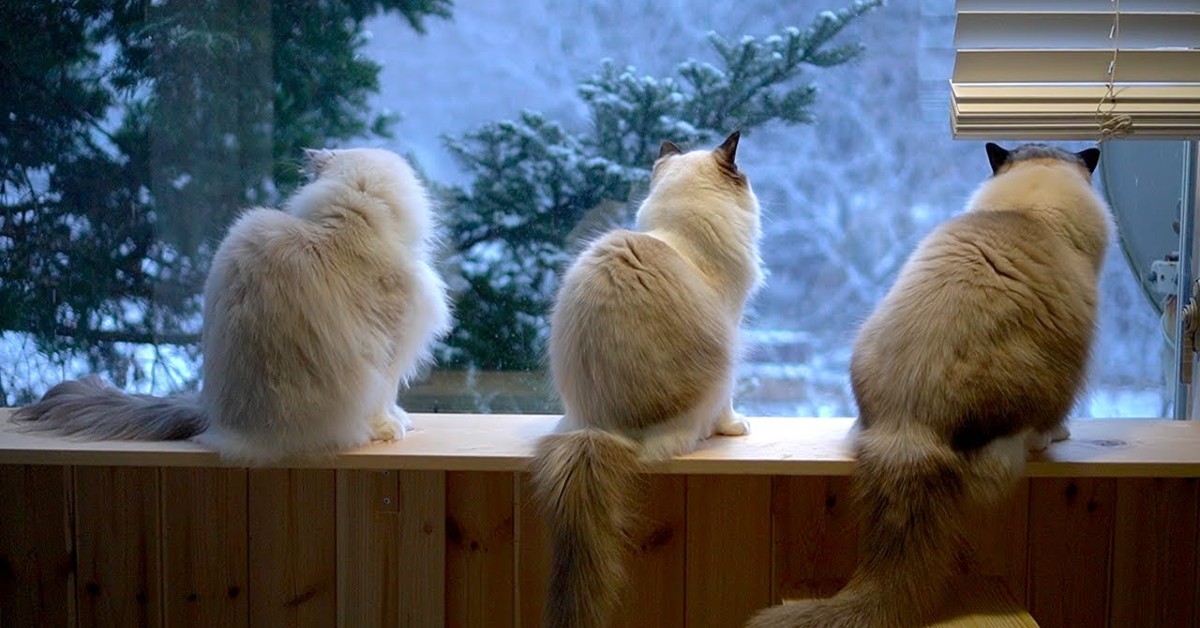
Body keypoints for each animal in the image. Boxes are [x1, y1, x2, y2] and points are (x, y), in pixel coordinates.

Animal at [532, 132, 763, 628]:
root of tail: (602, 430)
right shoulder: (733, 323)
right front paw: (737, 428)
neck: (683, 231)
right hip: (725, 359)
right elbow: (731, 409)